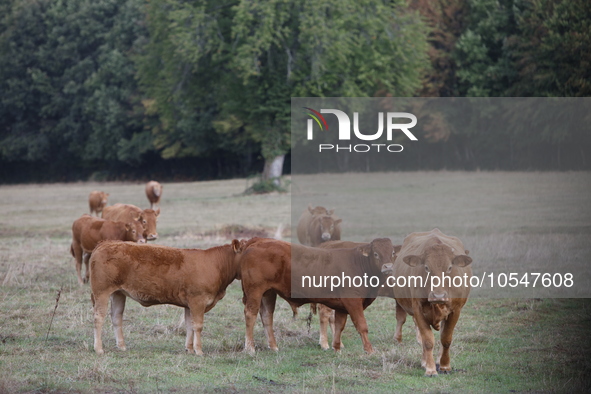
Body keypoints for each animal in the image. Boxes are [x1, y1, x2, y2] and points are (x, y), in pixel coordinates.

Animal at [238, 237, 396, 354]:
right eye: (376, 254)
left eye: (392, 253)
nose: (388, 267)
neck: (358, 264)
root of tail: (258, 242)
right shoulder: (353, 302)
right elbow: (362, 325)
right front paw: (369, 350)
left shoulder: (341, 306)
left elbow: (339, 325)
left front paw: (336, 348)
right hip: (255, 291)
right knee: (250, 314)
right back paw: (250, 348)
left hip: (268, 293)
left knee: (266, 316)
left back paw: (273, 346)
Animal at [390, 229, 474, 378]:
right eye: (427, 267)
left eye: (450, 267)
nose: (438, 296)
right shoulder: (418, 310)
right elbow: (428, 340)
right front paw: (430, 369)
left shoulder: (455, 311)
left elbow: (446, 339)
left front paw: (445, 366)